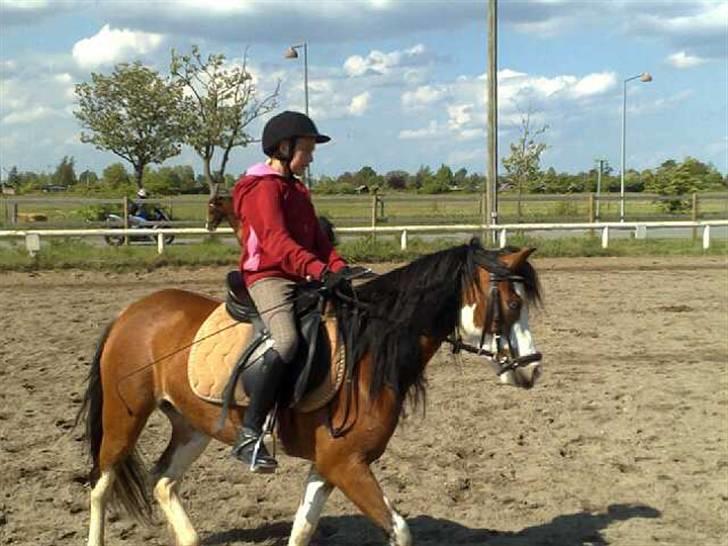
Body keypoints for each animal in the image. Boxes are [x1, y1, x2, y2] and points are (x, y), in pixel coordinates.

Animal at [76, 191, 543, 546]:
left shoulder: (328, 466)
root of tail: (132, 311)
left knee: (162, 481)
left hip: (192, 424)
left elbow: (302, 530)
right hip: (125, 417)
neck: (366, 355)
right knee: (101, 485)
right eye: (512, 303)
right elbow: (399, 530)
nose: (531, 368)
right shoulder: (348, 466)